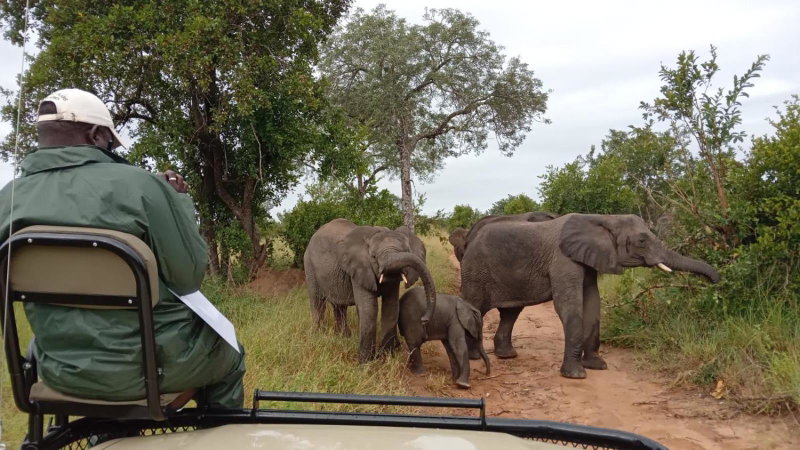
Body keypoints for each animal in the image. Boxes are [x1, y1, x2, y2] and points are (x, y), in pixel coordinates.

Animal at [304, 218, 436, 362]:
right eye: (373, 257)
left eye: (406, 251)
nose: (423, 319)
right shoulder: (359, 269)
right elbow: (369, 309)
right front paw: (366, 362)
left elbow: (391, 307)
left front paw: (386, 357)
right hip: (309, 265)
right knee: (318, 301)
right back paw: (318, 335)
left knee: (339, 306)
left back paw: (343, 337)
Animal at [460, 213, 720, 379]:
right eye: (642, 241)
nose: (717, 282)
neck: (603, 218)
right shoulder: (563, 258)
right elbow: (569, 305)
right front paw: (575, 375)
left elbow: (593, 303)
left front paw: (597, 366)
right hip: (475, 269)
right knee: (475, 308)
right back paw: (474, 358)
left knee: (510, 312)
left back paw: (508, 356)